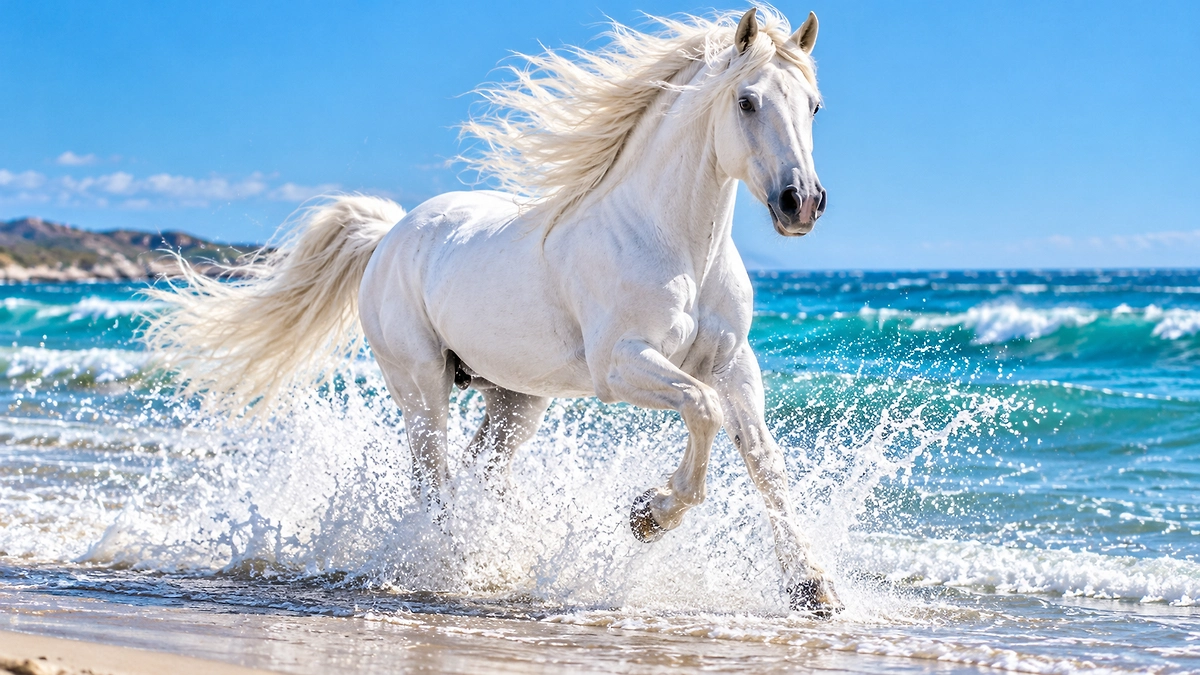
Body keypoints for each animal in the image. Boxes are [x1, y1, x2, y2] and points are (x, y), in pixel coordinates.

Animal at [145, 7, 842, 617]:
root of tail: (392, 233)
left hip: (514, 399)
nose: (801, 203)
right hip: (421, 384)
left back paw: (495, 563)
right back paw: (453, 569)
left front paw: (813, 589)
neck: (673, 246)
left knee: (482, 475)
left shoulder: (731, 363)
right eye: (747, 101)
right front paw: (648, 515)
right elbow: (704, 410)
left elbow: (764, 459)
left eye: (813, 106)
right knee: (436, 480)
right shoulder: (621, 366)